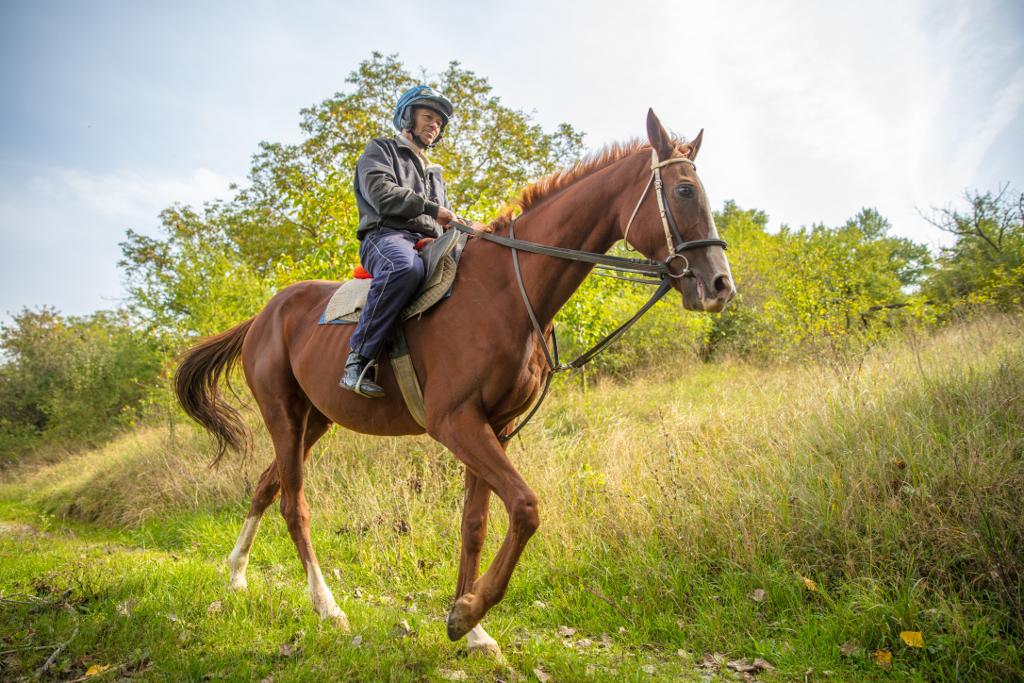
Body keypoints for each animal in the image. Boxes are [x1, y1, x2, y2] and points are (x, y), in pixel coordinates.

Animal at [176, 109, 737, 655]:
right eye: (684, 191)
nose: (719, 286)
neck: (505, 290)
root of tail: (262, 316)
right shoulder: (456, 423)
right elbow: (526, 508)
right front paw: (467, 613)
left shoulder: (496, 427)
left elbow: (476, 524)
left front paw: (473, 629)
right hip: (284, 417)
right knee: (294, 504)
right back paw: (326, 606)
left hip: (313, 422)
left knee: (266, 485)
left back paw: (236, 576)